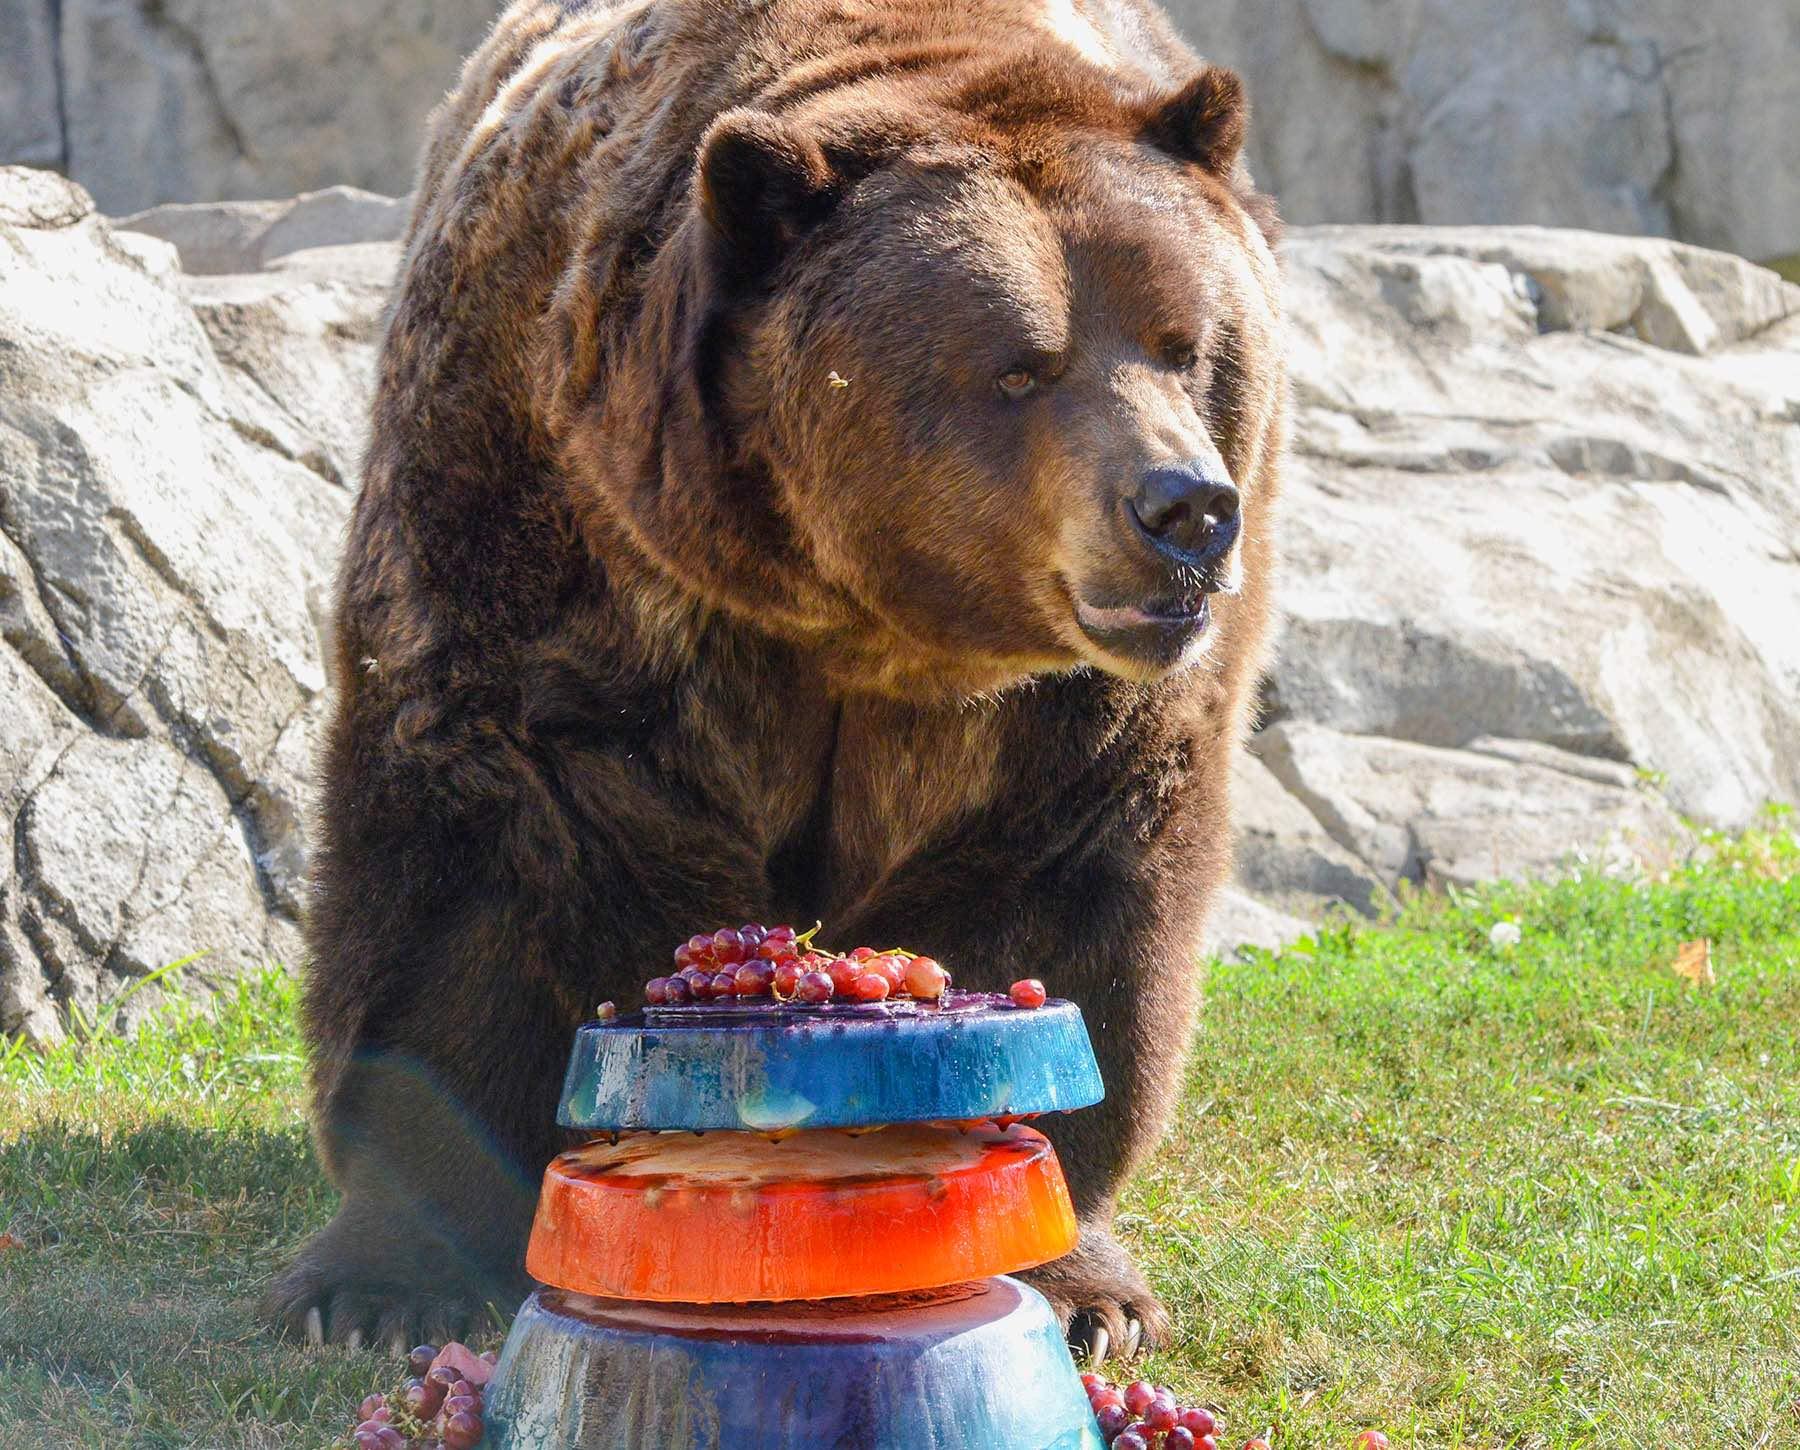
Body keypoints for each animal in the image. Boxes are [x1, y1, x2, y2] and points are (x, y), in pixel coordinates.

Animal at [262, 0, 1281, 1367]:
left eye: (1187, 345)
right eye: (1023, 367)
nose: (1184, 510)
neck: (862, 620)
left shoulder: (1070, 719)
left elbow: (1067, 894)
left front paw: (1077, 1281)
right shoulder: (553, 525)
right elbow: (480, 853)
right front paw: (380, 1278)